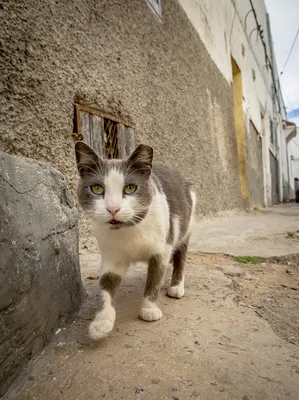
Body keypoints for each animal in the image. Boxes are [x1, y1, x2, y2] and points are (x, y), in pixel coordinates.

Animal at [75, 142, 197, 340]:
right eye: (97, 189)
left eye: (130, 188)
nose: (113, 209)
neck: (128, 230)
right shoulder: (112, 256)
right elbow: (105, 286)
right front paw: (102, 321)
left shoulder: (162, 249)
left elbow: (154, 278)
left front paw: (149, 308)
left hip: (185, 225)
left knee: (181, 256)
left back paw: (176, 286)